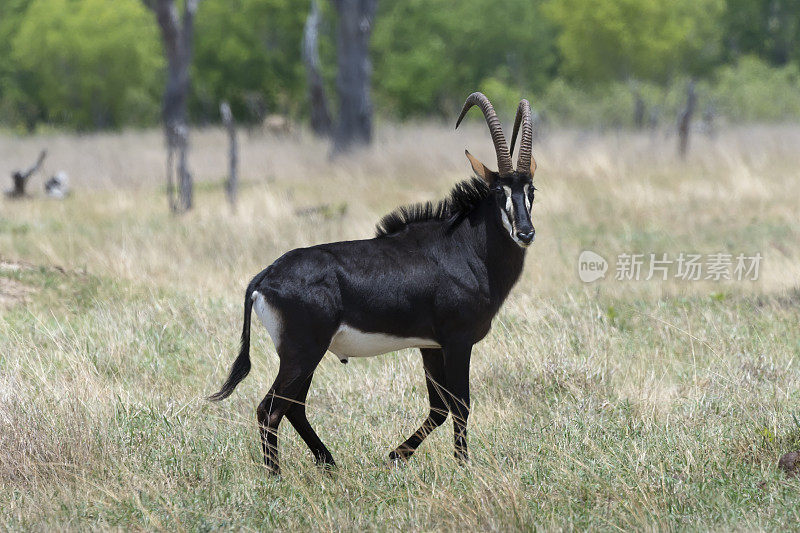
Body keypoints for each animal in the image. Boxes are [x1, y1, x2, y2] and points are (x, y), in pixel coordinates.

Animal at [211, 91, 536, 474]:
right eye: (499, 191)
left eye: (531, 189)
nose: (525, 233)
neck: (466, 246)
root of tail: (265, 276)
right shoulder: (458, 341)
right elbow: (460, 404)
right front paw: (462, 466)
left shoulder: (430, 346)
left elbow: (439, 408)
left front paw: (396, 455)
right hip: (302, 352)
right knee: (271, 408)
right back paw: (277, 475)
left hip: (303, 354)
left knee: (294, 407)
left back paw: (329, 464)